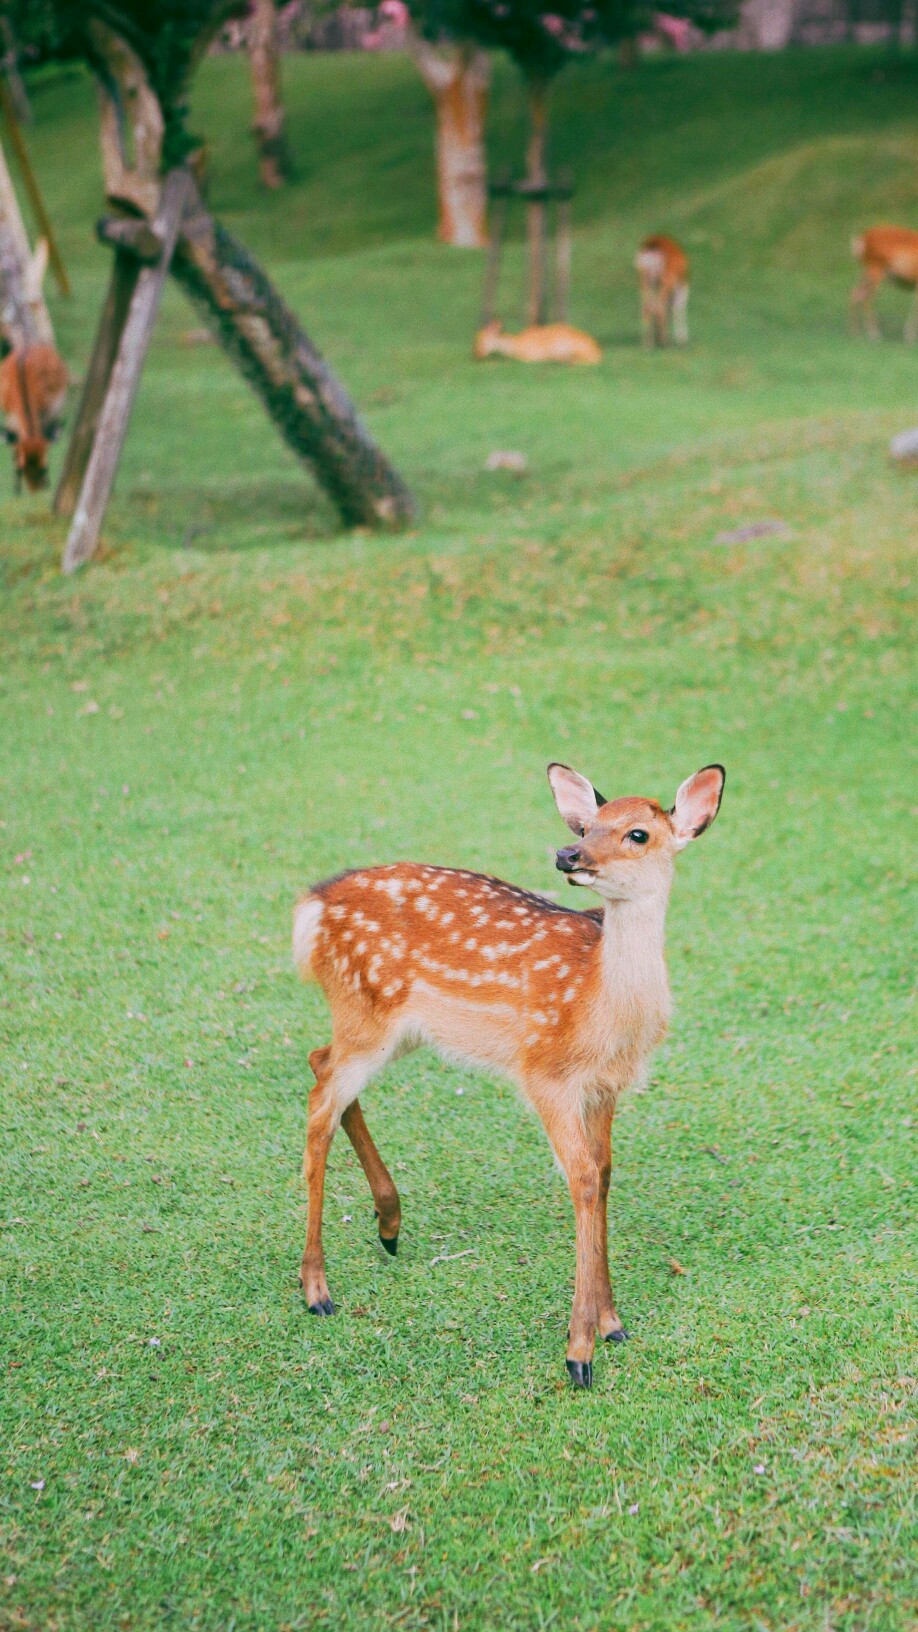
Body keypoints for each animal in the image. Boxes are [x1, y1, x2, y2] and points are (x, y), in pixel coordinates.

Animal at [0, 342, 67, 489]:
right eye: (20, 469)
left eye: (45, 467)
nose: (36, 490)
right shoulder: (10, 416)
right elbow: (14, 444)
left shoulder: (47, 412)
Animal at [292, 757, 721, 1383]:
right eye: (588, 825)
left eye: (637, 834)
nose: (568, 855)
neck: (601, 1010)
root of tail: (312, 905)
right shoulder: (544, 1071)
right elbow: (582, 1179)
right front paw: (579, 1351)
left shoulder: (606, 1086)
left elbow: (604, 1174)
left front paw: (612, 1324)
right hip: (365, 1012)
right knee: (319, 1104)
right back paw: (317, 1290)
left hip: (390, 1028)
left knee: (321, 1066)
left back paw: (389, 1225)